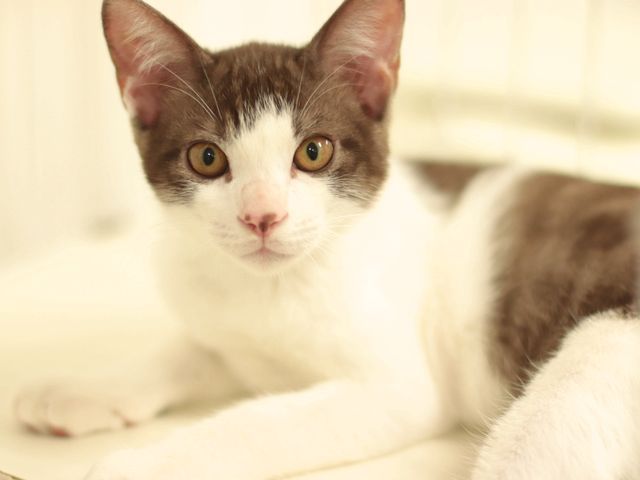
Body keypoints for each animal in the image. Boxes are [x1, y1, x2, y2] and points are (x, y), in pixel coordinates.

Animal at [14, 0, 640, 478]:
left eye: (313, 152)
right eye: (207, 158)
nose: (262, 217)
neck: (272, 288)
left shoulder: (398, 389)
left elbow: (260, 422)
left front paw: (140, 464)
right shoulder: (232, 328)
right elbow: (192, 350)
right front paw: (83, 389)